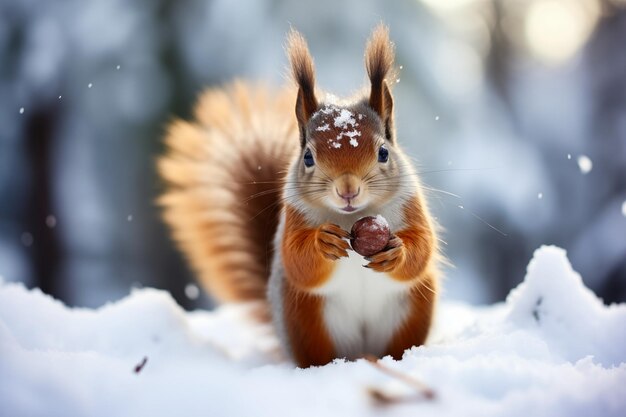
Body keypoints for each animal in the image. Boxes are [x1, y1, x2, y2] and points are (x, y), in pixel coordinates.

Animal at [158, 24, 436, 366]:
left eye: (383, 152)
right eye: (308, 157)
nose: (347, 189)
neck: (351, 217)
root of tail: (361, 353)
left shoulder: (411, 205)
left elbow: (422, 247)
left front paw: (397, 251)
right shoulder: (292, 216)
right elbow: (297, 260)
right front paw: (321, 242)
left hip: (413, 310)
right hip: (306, 318)